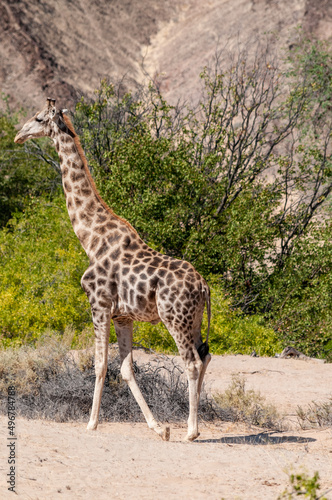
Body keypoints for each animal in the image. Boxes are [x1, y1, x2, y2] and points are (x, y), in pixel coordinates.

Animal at [14, 97, 211, 442]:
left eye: (38, 118)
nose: (18, 135)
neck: (90, 238)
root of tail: (204, 286)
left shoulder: (98, 303)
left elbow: (100, 364)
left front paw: (91, 423)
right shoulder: (123, 315)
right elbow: (126, 369)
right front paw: (158, 427)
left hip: (174, 318)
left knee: (191, 363)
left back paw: (192, 431)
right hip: (195, 319)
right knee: (205, 355)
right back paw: (189, 425)